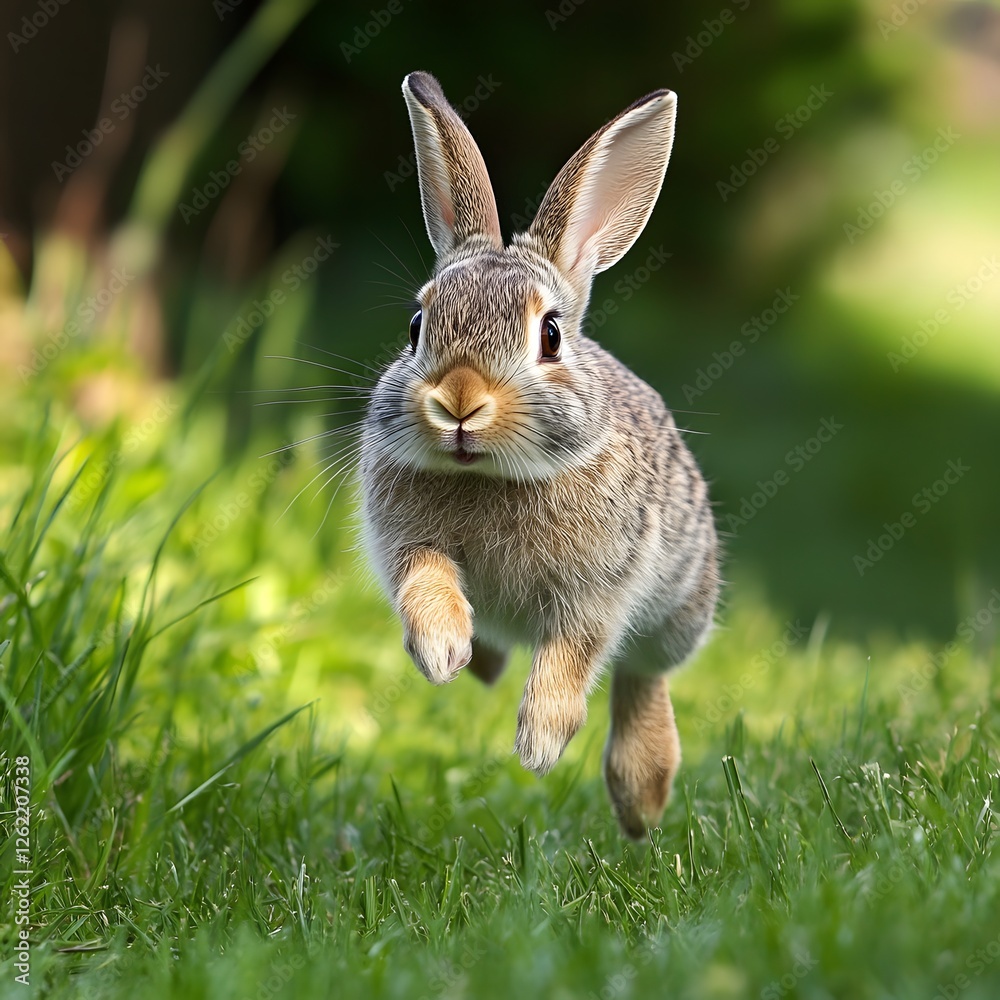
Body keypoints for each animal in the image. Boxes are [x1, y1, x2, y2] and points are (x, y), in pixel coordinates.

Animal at [360, 71, 719, 839]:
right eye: (416, 326)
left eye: (550, 335)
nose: (460, 399)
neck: (493, 474)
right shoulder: (409, 541)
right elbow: (426, 582)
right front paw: (441, 652)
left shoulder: (600, 589)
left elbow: (574, 654)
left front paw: (540, 746)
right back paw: (481, 661)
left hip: (678, 606)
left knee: (642, 674)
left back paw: (640, 803)